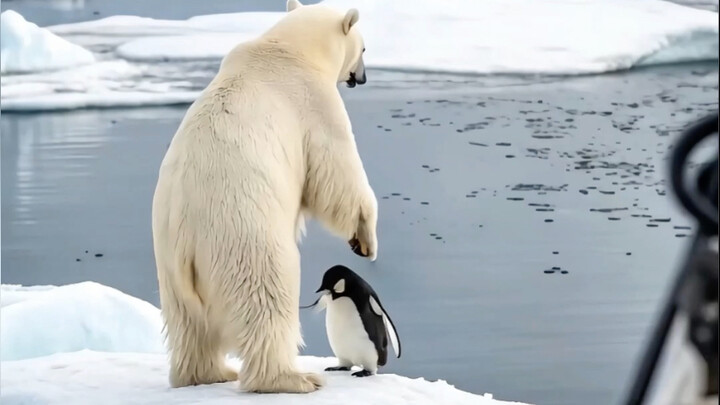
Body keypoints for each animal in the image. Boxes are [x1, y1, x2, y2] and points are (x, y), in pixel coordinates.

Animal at [151, 0, 378, 394]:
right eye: (363, 48)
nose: (361, 77)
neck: (285, 49)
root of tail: (187, 235)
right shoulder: (312, 104)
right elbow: (336, 173)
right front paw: (365, 241)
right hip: (245, 239)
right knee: (267, 299)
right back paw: (292, 378)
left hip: (169, 266)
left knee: (188, 326)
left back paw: (208, 373)